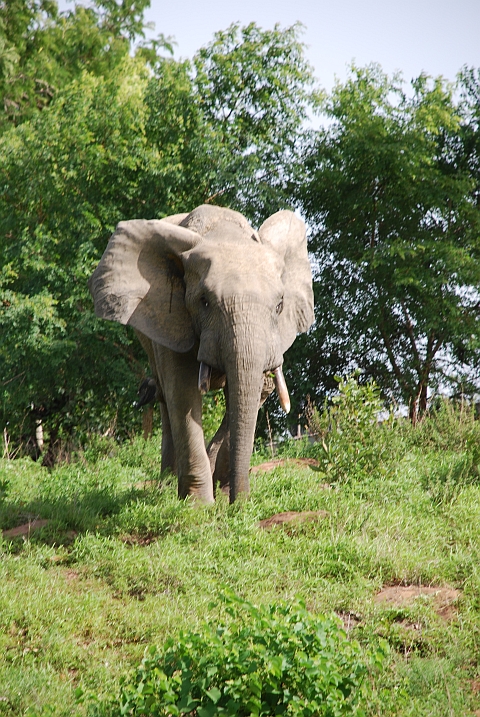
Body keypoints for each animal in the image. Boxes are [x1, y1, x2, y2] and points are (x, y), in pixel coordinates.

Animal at [89, 204, 316, 500]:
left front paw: (223, 490)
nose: (241, 505)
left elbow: (247, 393)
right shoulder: (171, 317)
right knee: (165, 398)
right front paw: (199, 504)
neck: (224, 232)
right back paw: (167, 485)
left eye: (279, 306)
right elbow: (182, 391)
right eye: (204, 302)